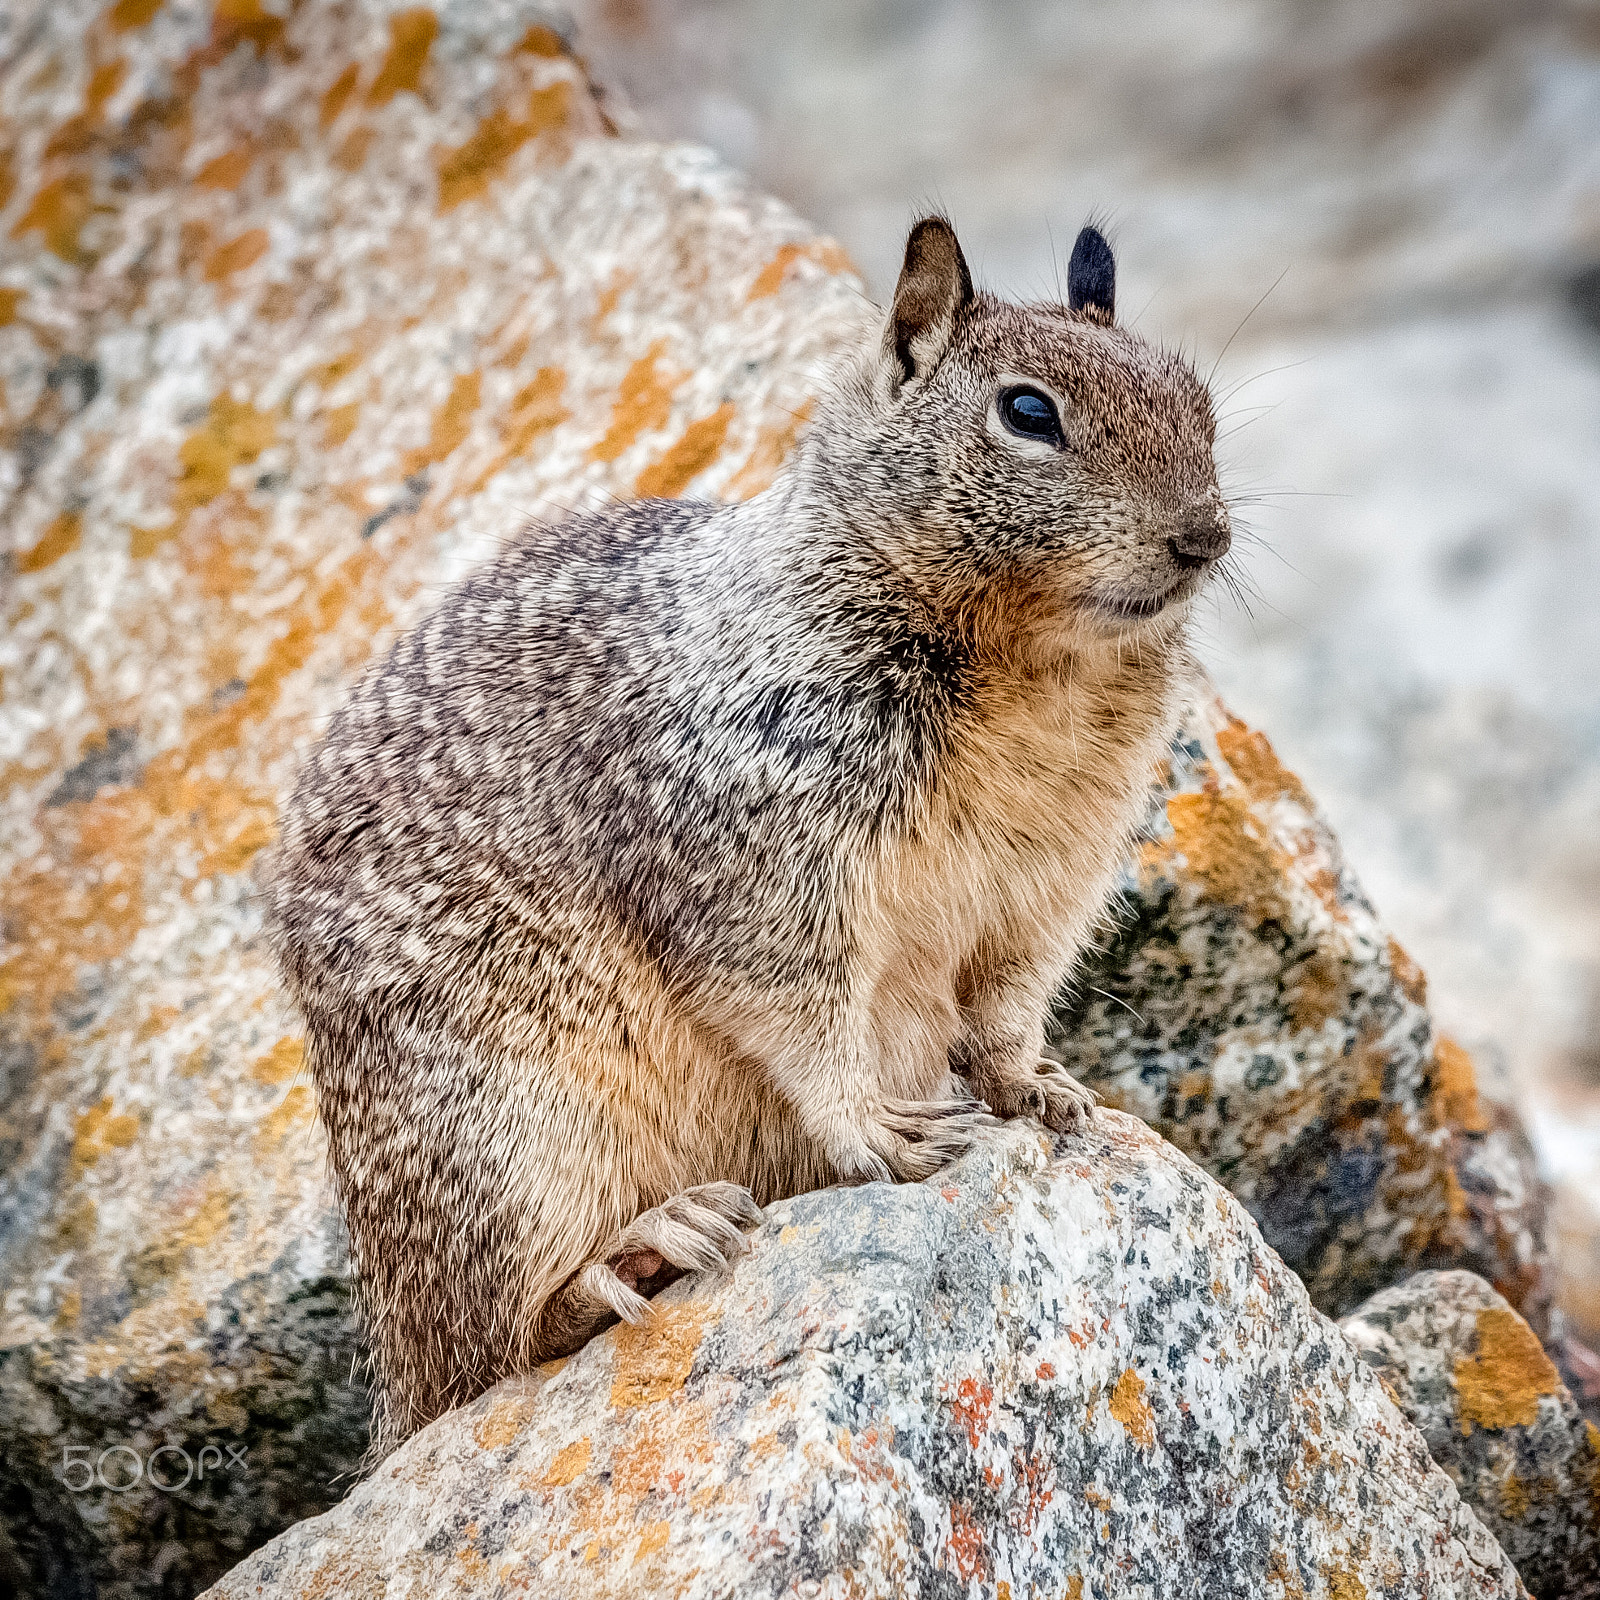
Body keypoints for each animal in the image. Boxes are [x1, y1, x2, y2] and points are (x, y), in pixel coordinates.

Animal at [265, 217, 1232, 1453]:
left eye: (1197, 398)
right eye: (1027, 412)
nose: (1205, 535)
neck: (1033, 660)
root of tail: (391, 1365)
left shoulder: (1051, 879)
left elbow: (1008, 1006)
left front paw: (1042, 1089)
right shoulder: (756, 852)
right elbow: (802, 1013)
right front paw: (878, 1132)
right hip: (503, 1136)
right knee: (498, 1346)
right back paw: (641, 1251)